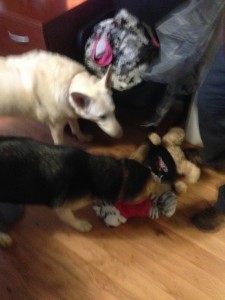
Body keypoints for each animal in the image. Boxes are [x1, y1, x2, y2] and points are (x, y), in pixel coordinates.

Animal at [0, 137, 160, 247]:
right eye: (146, 196)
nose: (156, 197)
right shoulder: (62, 207)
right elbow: (70, 217)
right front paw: (81, 225)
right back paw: (3, 238)